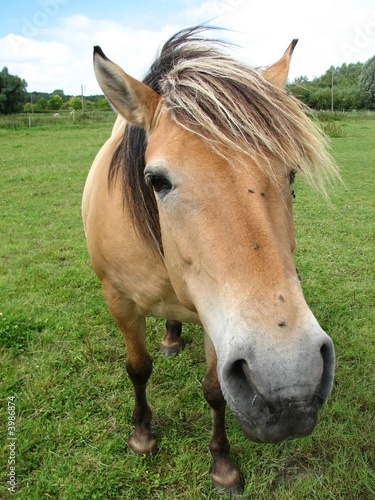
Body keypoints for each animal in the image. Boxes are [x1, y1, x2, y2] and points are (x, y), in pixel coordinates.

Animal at [82, 25, 338, 494]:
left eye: (291, 173)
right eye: (156, 180)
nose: (289, 385)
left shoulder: (219, 323)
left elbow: (215, 390)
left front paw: (222, 464)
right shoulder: (118, 301)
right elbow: (137, 368)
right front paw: (142, 434)